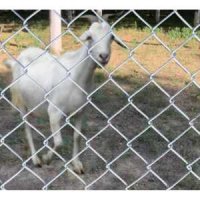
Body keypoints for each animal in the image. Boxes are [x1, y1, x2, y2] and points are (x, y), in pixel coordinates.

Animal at [5, 15, 125, 174]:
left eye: (111, 37)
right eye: (90, 37)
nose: (103, 56)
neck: (76, 76)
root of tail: (18, 59)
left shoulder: (81, 110)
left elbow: (77, 137)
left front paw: (77, 164)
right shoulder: (54, 111)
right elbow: (59, 142)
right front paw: (47, 158)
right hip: (21, 103)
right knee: (27, 128)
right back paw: (36, 159)